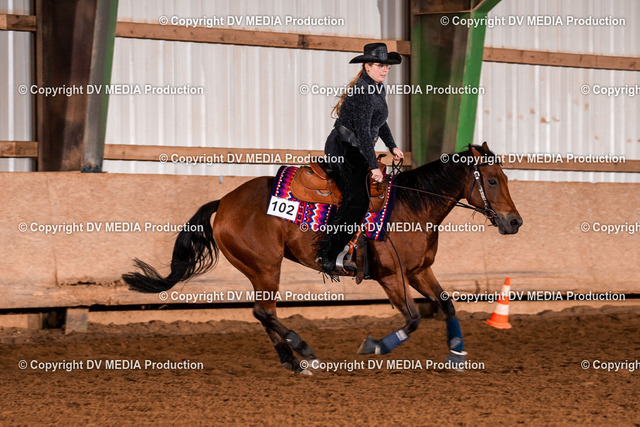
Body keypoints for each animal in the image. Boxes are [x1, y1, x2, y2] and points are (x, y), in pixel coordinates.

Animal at [123, 142, 522, 374]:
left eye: (504, 177)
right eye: (491, 180)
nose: (515, 221)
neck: (412, 205)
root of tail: (223, 203)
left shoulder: (419, 271)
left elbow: (448, 305)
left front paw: (456, 355)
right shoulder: (391, 275)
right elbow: (411, 320)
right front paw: (374, 346)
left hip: (259, 270)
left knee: (261, 313)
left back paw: (293, 362)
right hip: (266, 267)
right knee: (264, 311)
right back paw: (304, 352)